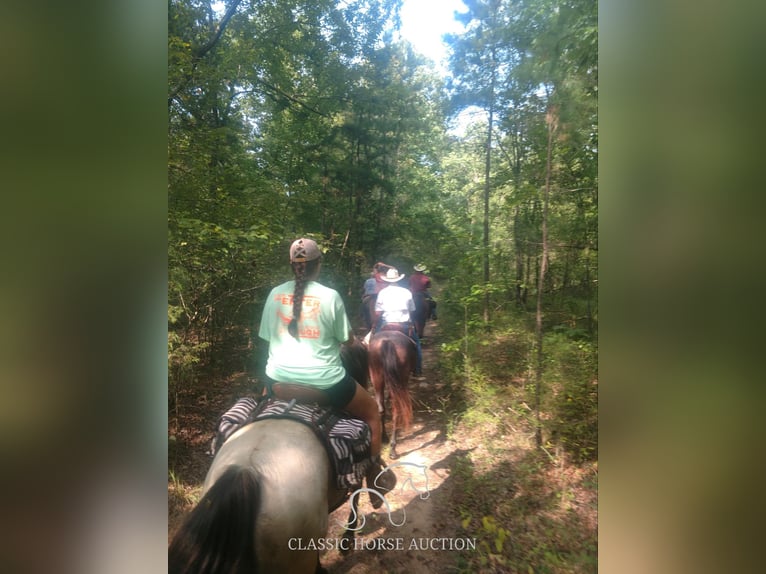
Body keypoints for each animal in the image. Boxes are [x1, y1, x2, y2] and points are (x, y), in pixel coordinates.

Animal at [366, 330, 414, 462]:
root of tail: (387, 342)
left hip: (376, 376)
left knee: (381, 408)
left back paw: (384, 438)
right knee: (396, 410)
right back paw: (392, 447)